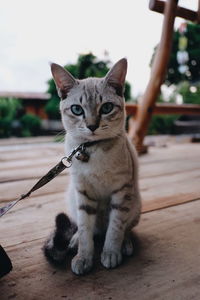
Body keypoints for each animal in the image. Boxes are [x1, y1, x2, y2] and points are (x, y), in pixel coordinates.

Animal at [43, 58, 141, 274]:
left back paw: (125, 244)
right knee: (86, 229)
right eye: (77, 109)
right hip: (73, 199)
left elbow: (115, 228)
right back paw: (74, 241)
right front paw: (83, 258)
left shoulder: (121, 191)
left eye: (106, 108)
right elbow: (85, 229)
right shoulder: (83, 193)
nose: (92, 126)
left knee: (123, 228)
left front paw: (111, 252)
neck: (93, 149)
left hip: (134, 203)